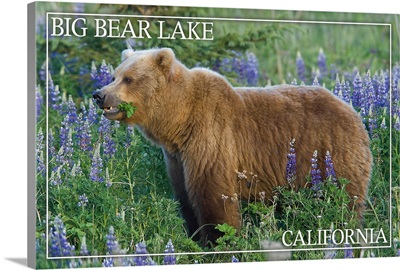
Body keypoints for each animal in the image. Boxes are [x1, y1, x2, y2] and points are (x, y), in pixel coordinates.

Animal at [92, 48, 374, 245]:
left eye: (129, 78)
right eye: (114, 75)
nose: (99, 94)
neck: (180, 121)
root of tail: (352, 109)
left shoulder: (211, 140)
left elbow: (214, 198)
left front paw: (219, 241)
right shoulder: (178, 158)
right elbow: (185, 198)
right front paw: (194, 235)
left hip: (331, 155)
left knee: (345, 202)